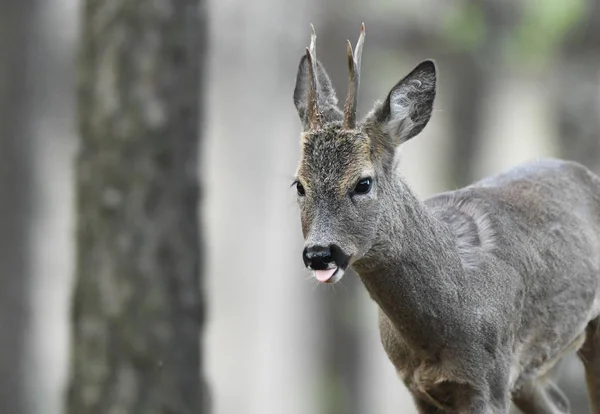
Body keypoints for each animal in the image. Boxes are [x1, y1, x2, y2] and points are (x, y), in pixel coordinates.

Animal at [292, 23, 600, 414]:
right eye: (299, 184)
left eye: (363, 182)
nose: (319, 253)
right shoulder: (418, 388)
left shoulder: (491, 381)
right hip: (533, 371)